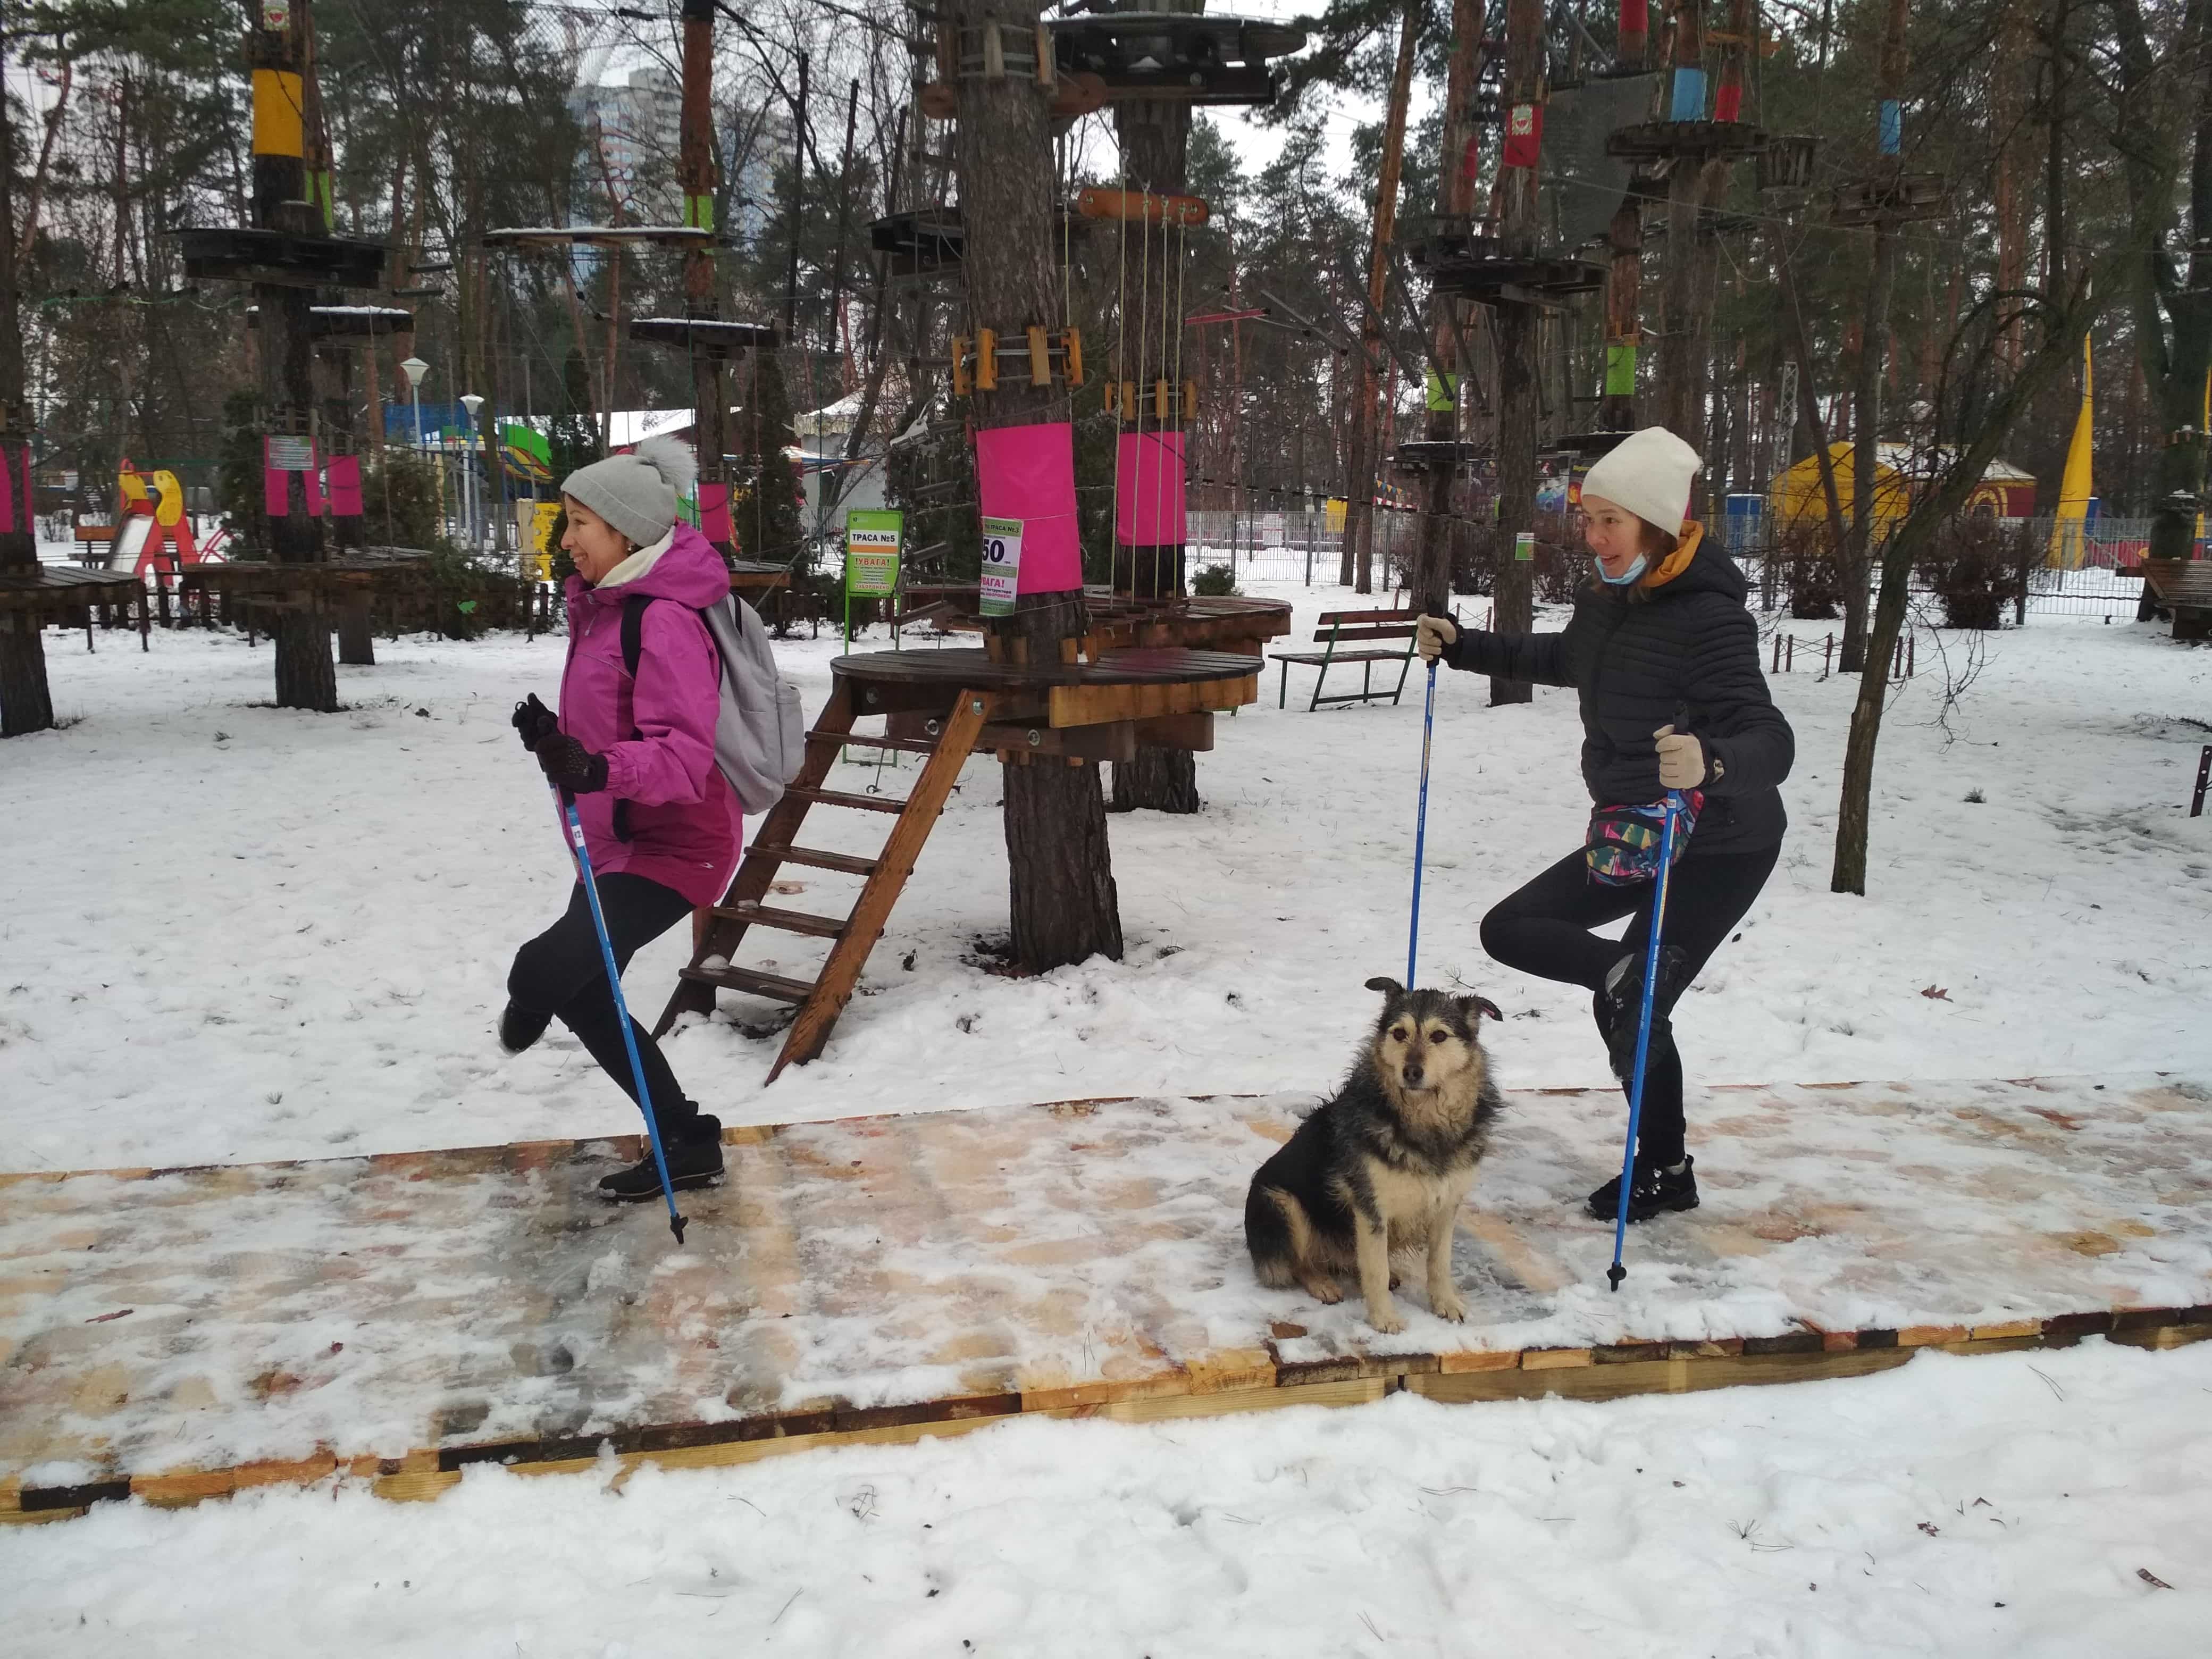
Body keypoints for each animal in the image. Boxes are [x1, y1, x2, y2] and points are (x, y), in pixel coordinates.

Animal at [1245, 977, 1504, 1334]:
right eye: (1399, 1033)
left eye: (1439, 1036)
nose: (1411, 1072)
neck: (1424, 1119)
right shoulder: (1370, 1208)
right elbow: (1376, 1271)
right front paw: (1384, 1318)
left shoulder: (1446, 1205)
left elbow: (1439, 1264)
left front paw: (1446, 1304)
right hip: (1281, 1202)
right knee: (1298, 1262)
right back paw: (1321, 1283)